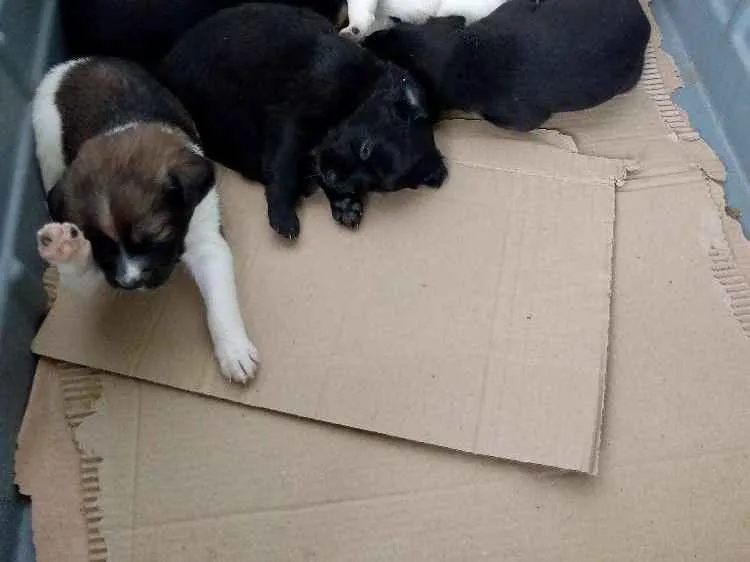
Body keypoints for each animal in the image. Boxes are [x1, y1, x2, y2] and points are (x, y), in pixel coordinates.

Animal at [32, 57, 259, 384]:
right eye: (100, 246)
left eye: (156, 237)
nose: (130, 284)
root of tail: (71, 64)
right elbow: (82, 275)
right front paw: (67, 248)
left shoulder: (206, 238)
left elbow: (220, 302)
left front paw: (234, 350)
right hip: (48, 144)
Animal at [158, 3, 448, 240]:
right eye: (365, 148)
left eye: (376, 184)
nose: (334, 178)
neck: (359, 95)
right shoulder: (291, 122)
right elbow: (283, 166)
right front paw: (283, 215)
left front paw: (343, 201)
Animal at [364, 0, 651, 130]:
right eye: (391, 30)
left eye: (390, 62)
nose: (366, 40)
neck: (464, 53)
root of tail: (644, 20)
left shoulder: (520, 119)